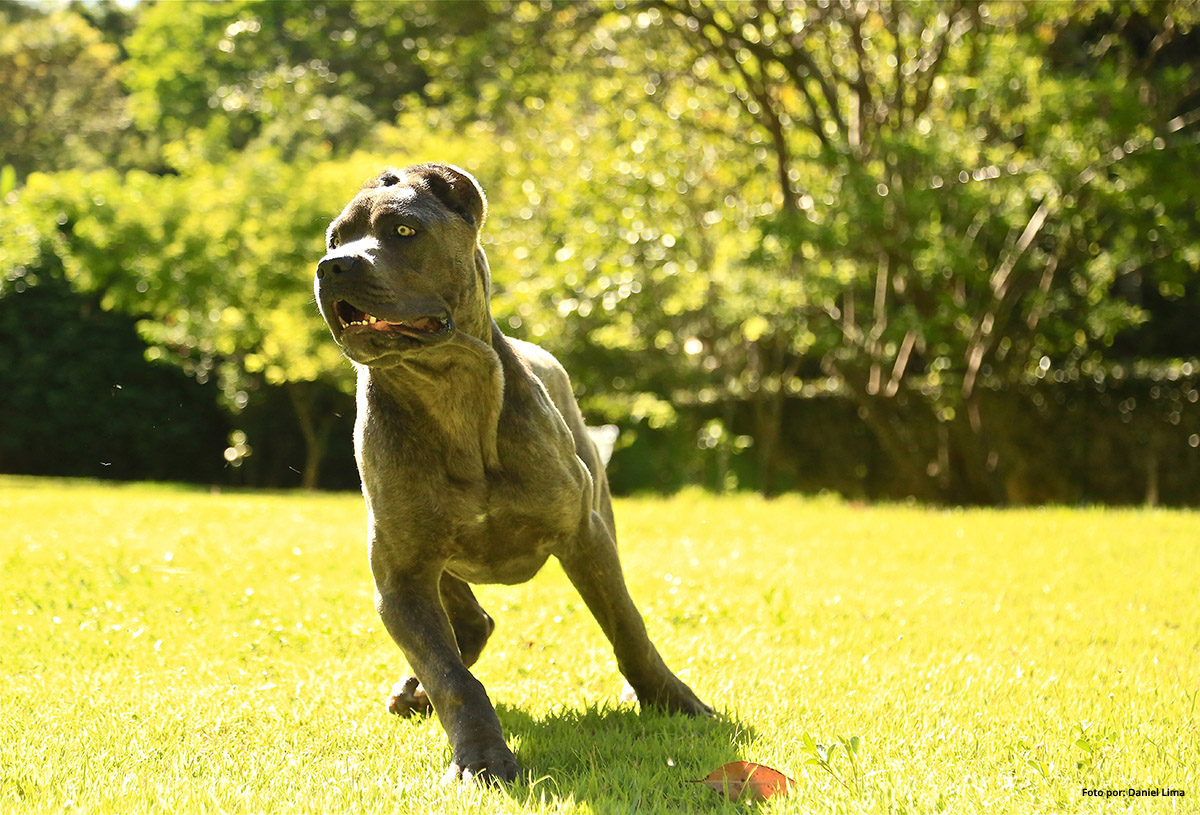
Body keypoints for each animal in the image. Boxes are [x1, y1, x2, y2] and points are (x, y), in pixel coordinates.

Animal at [314, 163, 711, 783]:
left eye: (403, 230)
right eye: (335, 239)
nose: (333, 266)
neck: (447, 389)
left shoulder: (586, 537)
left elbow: (628, 627)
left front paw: (675, 703)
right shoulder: (400, 574)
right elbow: (450, 675)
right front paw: (480, 757)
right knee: (470, 626)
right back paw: (414, 690)